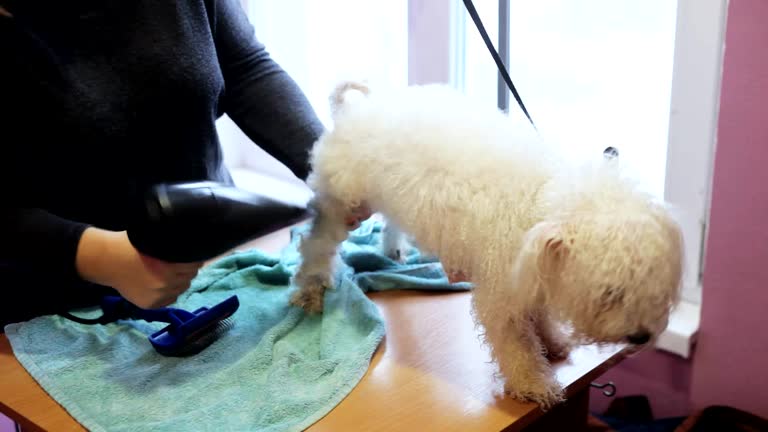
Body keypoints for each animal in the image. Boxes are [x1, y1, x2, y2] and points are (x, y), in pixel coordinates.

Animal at [290, 80, 684, 408]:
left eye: (653, 288)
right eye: (610, 294)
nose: (641, 336)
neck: (542, 199)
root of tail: (359, 108)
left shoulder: (532, 272)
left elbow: (539, 314)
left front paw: (552, 341)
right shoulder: (502, 288)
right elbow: (514, 342)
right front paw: (534, 383)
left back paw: (392, 250)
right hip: (344, 206)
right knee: (317, 244)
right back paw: (310, 288)